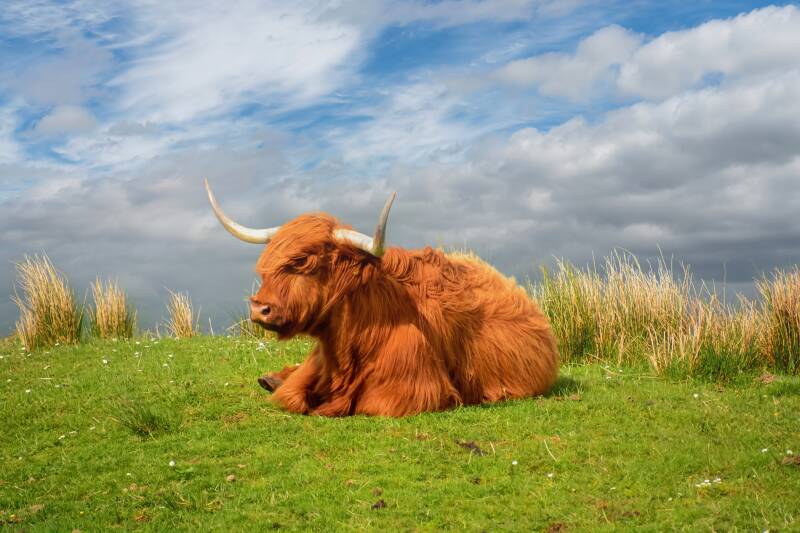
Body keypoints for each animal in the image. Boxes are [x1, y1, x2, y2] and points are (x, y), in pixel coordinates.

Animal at [205, 180, 559, 417]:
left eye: (304, 262)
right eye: (268, 263)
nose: (259, 308)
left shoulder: (413, 390)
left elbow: (363, 404)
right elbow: (292, 396)